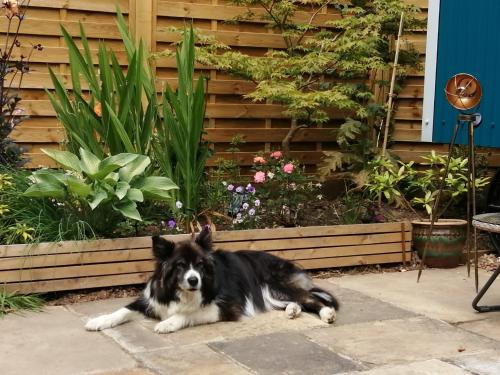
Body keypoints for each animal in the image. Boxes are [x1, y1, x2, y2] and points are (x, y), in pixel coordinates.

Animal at [85, 228, 340, 334]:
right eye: (180, 265)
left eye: (199, 264)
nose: (193, 280)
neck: (182, 292)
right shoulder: (152, 300)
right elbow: (122, 310)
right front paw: (98, 321)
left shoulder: (226, 306)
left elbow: (188, 314)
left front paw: (168, 323)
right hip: (270, 293)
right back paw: (293, 310)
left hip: (275, 284)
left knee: (310, 297)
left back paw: (326, 313)